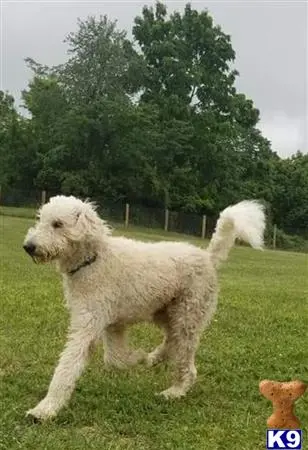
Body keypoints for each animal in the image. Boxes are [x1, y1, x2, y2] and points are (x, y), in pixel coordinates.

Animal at [23, 195, 264, 420]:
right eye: (40, 219)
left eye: (57, 224)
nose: (28, 247)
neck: (94, 259)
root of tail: (208, 257)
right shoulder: (113, 325)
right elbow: (115, 360)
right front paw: (138, 357)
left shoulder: (88, 326)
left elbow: (68, 366)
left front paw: (45, 409)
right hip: (165, 312)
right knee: (171, 340)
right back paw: (154, 358)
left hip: (188, 316)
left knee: (187, 363)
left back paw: (174, 391)